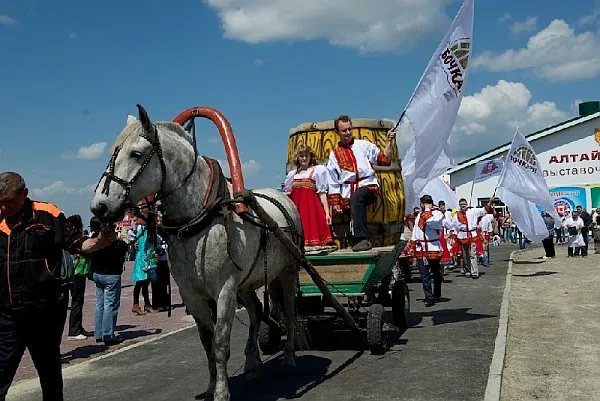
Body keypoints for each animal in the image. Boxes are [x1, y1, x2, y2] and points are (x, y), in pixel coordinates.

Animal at [90, 105, 300, 400]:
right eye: (112, 153)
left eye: (136, 154)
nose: (99, 207)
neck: (199, 218)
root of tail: (282, 197)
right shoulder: (192, 293)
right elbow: (206, 341)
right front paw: (212, 385)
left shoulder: (225, 289)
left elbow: (220, 343)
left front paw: (222, 392)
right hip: (246, 284)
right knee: (256, 310)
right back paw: (252, 362)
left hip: (288, 271)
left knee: (290, 312)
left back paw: (290, 358)